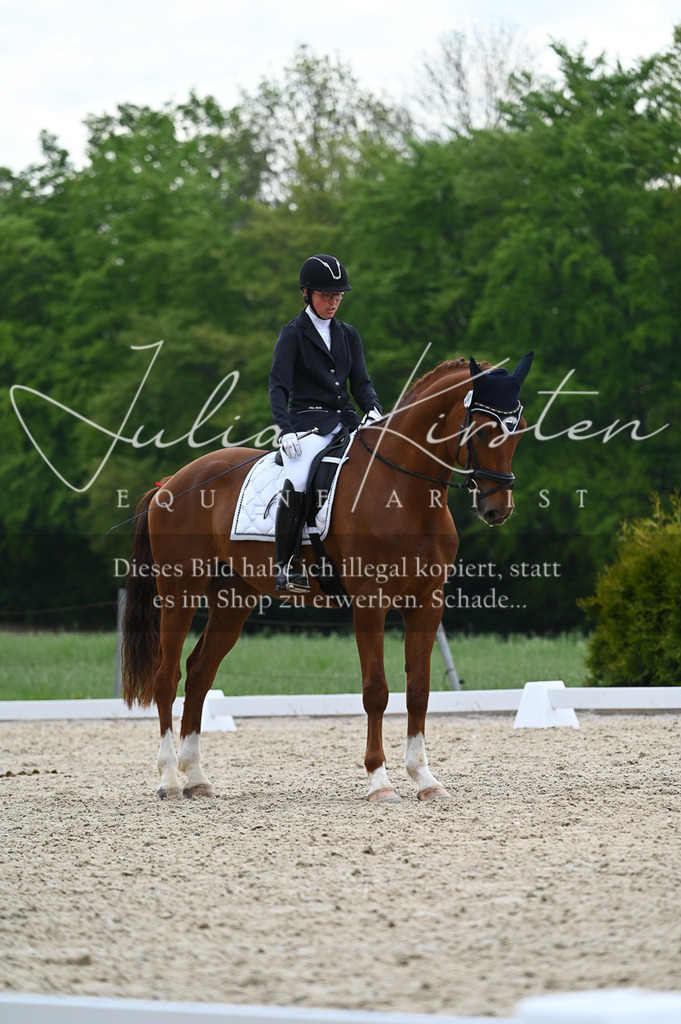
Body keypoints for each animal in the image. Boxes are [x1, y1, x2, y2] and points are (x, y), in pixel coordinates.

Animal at [122, 352, 533, 802]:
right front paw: (380, 781)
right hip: (179, 589)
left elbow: (419, 690)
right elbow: (376, 690)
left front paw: (425, 779)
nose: (497, 509)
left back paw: (196, 778)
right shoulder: (370, 603)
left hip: (234, 599)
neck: (404, 489)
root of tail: (171, 482)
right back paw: (169, 780)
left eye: (519, 430)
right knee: (167, 676)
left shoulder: (427, 603)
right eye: (482, 430)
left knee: (198, 674)